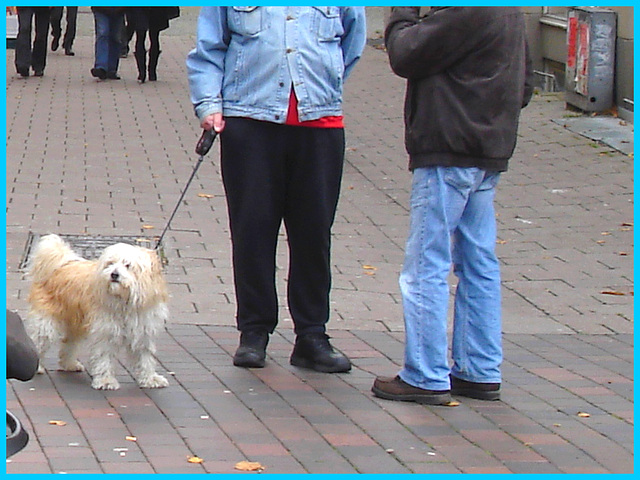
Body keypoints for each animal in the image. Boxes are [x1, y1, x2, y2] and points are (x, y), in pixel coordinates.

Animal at [26, 235, 169, 390]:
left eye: (128, 265)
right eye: (110, 263)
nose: (114, 274)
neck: (125, 302)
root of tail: (61, 265)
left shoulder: (143, 333)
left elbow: (145, 359)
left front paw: (150, 378)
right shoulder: (106, 332)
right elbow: (104, 357)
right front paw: (105, 380)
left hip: (76, 323)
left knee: (69, 344)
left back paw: (70, 364)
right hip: (47, 323)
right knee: (39, 341)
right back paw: (36, 366)